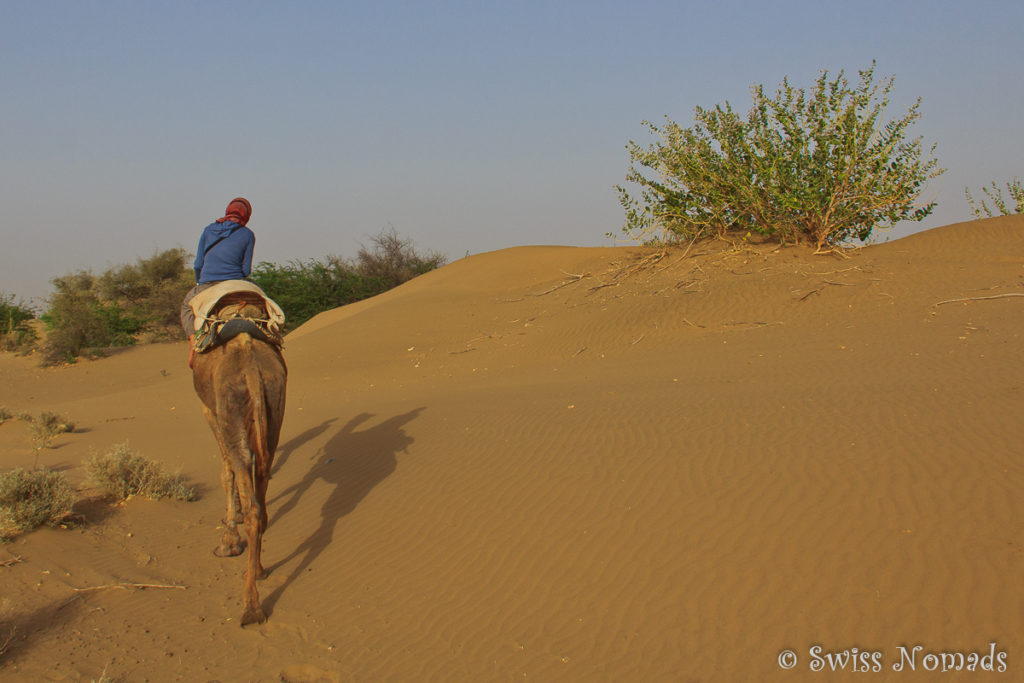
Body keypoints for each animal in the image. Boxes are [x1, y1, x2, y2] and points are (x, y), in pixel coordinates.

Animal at [192, 327, 286, 626]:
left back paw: (251, 607)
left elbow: (226, 471)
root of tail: (252, 369)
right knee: (261, 496)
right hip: (273, 408)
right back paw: (259, 570)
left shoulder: (210, 410)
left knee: (248, 489)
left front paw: (228, 541)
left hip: (230, 411)